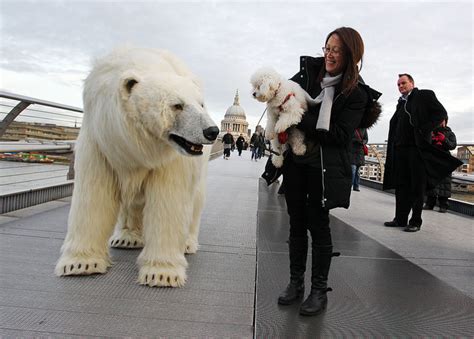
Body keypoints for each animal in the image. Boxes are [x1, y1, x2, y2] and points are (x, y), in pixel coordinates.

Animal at [54, 46, 219, 288]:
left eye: (201, 104)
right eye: (177, 105)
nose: (212, 131)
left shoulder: (170, 158)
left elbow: (169, 199)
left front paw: (161, 274)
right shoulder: (101, 140)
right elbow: (94, 194)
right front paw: (80, 264)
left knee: (195, 200)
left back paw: (187, 243)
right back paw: (126, 237)